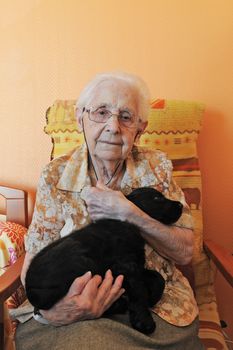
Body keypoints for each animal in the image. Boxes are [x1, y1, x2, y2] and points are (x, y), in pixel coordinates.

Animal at [25, 189, 182, 334]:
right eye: (157, 198)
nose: (181, 205)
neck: (126, 224)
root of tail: (30, 289)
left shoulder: (135, 265)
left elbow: (158, 278)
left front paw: (153, 297)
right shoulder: (127, 266)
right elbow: (139, 291)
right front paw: (144, 321)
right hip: (85, 262)